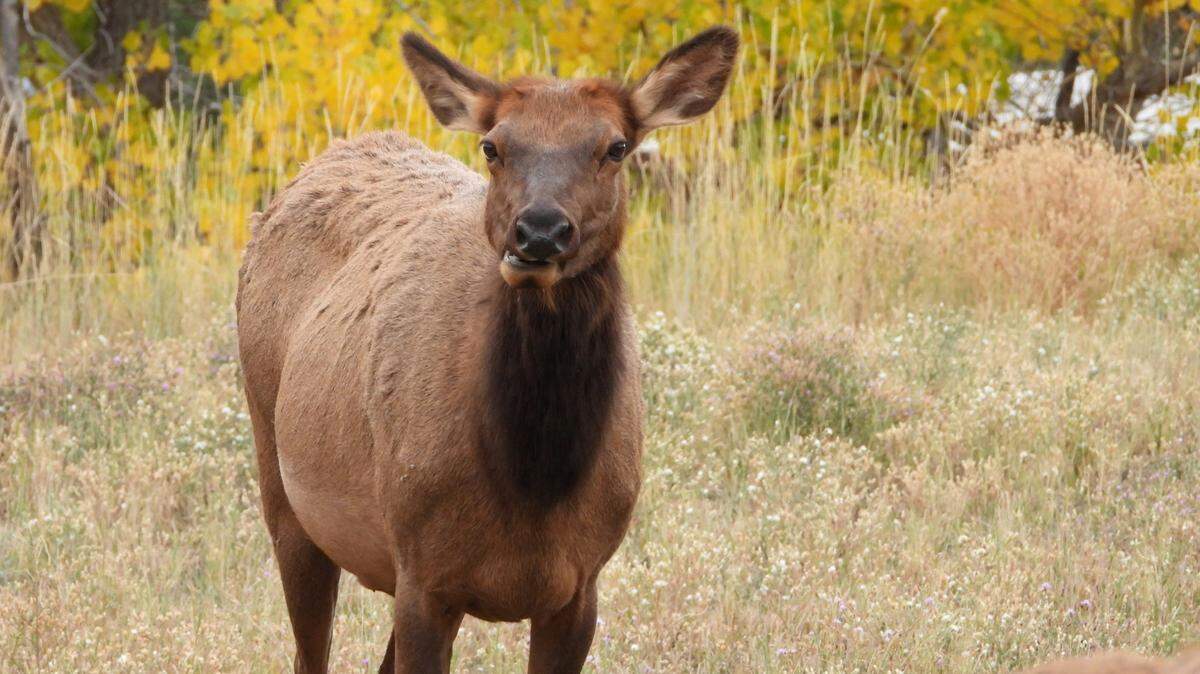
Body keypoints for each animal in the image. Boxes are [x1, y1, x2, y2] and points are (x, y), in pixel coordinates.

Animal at [235, 26, 738, 673]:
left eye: (616, 146)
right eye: (493, 147)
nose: (540, 232)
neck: (532, 484)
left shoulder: (579, 586)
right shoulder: (424, 575)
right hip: (285, 487)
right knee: (307, 649)